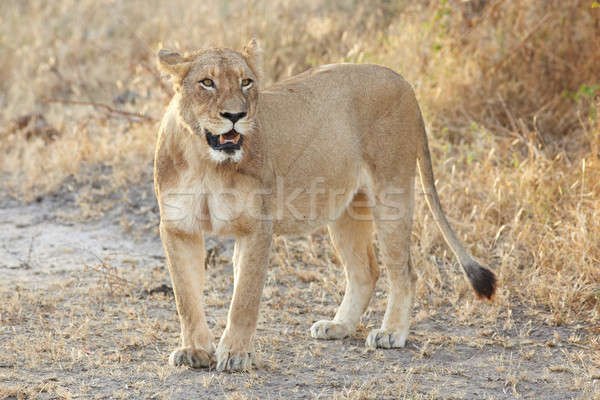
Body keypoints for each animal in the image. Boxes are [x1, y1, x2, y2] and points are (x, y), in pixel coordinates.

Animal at [155, 39, 496, 372]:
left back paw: (391, 332)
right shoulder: (178, 228)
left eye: (246, 82)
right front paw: (194, 350)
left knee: (405, 272)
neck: (206, 162)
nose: (236, 116)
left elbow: (244, 299)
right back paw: (338, 326)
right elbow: (186, 296)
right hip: (346, 209)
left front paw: (237, 355)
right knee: (365, 271)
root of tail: (402, 80)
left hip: (392, 193)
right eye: (207, 82)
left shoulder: (256, 227)